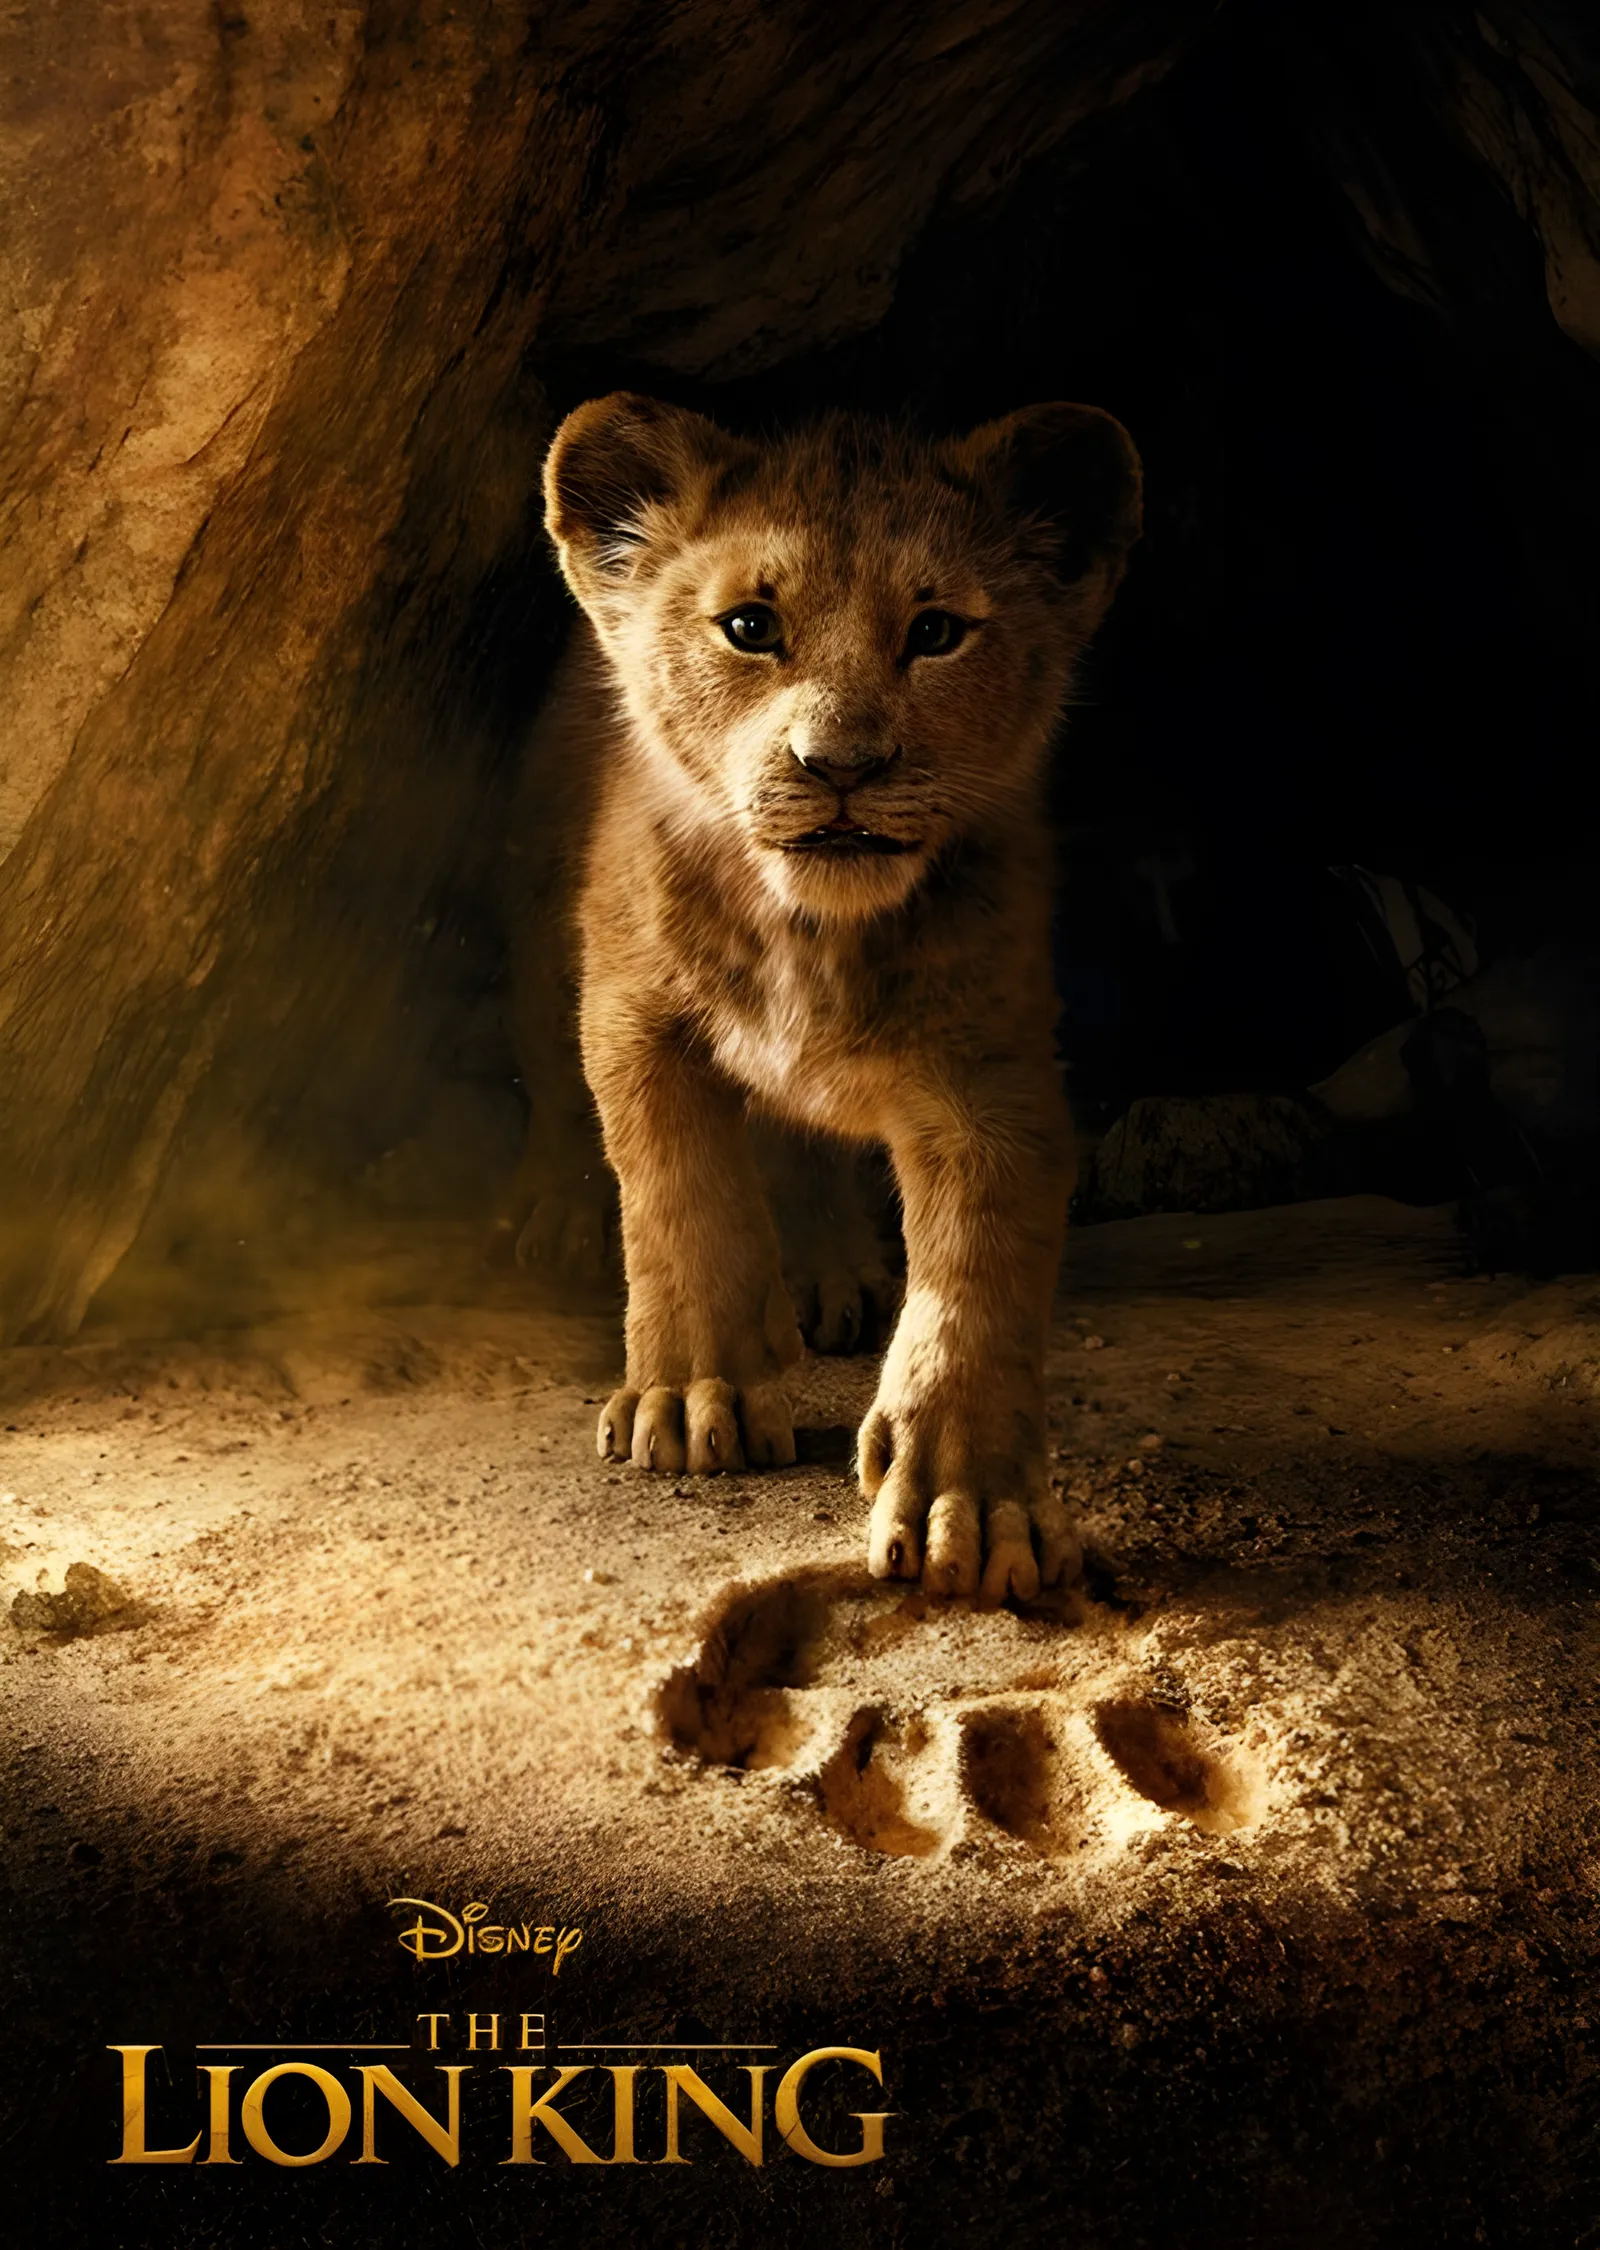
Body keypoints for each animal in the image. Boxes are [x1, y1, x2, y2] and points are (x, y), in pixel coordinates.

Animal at [519, 391, 1141, 1602]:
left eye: (937, 632)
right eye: (749, 627)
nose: (839, 765)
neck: (810, 931)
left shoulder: (991, 1077)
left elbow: (975, 1278)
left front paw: (970, 1503)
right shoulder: (631, 1017)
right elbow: (680, 1198)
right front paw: (692, 1397)